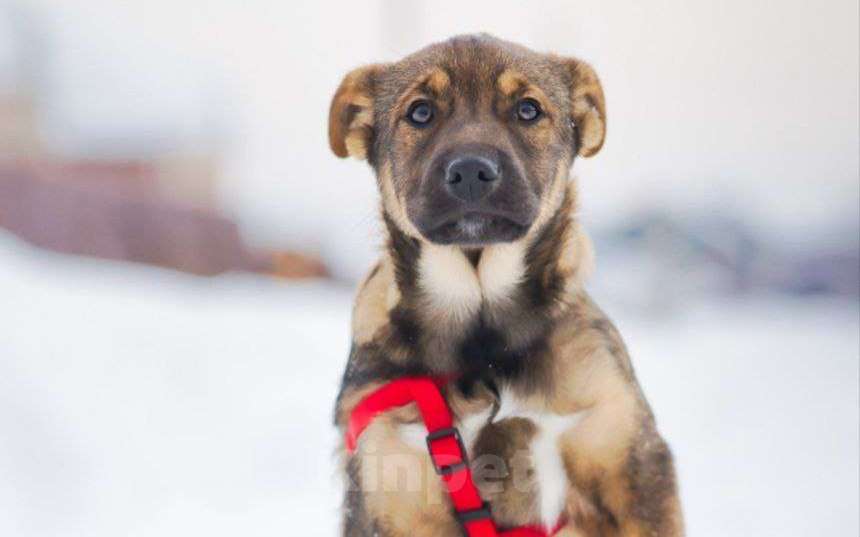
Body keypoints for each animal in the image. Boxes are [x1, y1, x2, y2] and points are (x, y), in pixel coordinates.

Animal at [329, 34, 684, 537]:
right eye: (421, 112)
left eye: (528, 109)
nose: (471, 172)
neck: (483, 334)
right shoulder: (392, 488)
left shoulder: (629, 459)